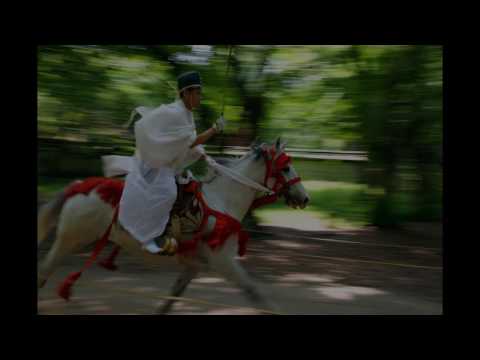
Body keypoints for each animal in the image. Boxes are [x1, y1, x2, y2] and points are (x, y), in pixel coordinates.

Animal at [36, 139, 308, 314]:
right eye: (286, 167)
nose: (305, 198)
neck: (222, 200)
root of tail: (80, 187)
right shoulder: (223, 260)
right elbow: (254, 291)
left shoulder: (192, 265)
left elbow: (171, 298)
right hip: (71, 239)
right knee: (43, 272)